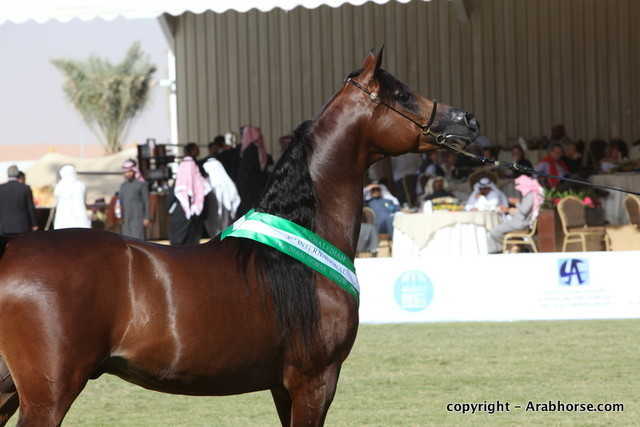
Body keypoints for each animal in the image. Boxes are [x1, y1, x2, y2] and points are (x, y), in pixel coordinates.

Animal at [0, 47, 478, 426]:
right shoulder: (314, 382)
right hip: (48, 396)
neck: (295, 257)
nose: (468, 120)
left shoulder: (282, 387)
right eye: (403, 95)